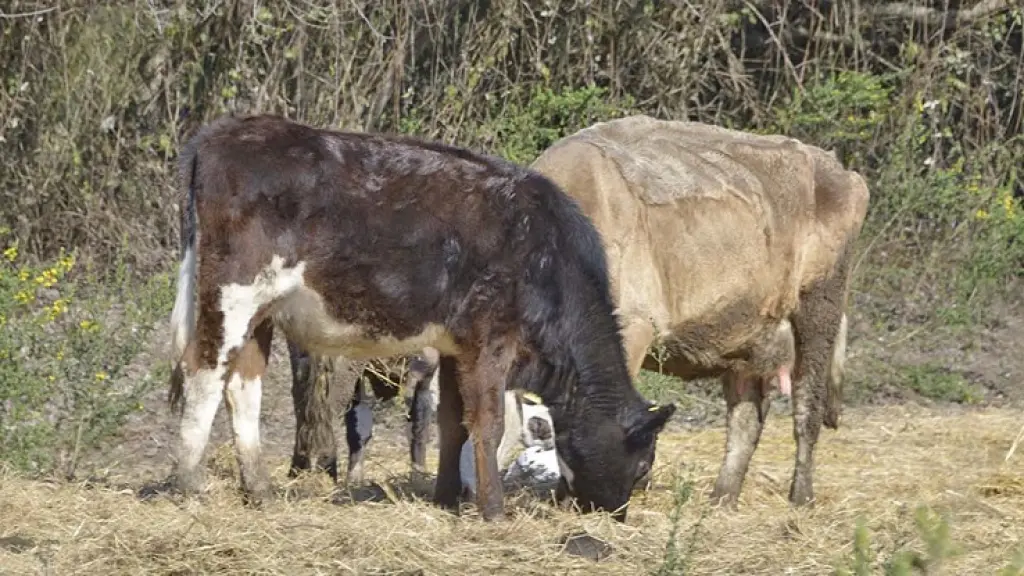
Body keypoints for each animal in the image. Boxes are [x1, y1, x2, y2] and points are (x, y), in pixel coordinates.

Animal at [163, 114, 675, 518]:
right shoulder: (491, 338)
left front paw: (448, 498)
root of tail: (227, 130)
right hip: (233, 293)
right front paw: (493, 511)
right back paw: (191, 486)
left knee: (242, 387)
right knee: (205, 374)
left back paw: (259, 491)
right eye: (643, 464)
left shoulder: (455, 345)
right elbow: (489, 423)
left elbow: (451, 422)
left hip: (262, 312)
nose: (615, 516)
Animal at [528, 116, 872, 506]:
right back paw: (723, 496)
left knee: (806, 404)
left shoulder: (631, 326)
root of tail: (841, 170)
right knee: (746, 414)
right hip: (748, 329)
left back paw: (800, 496)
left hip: (820, 304)